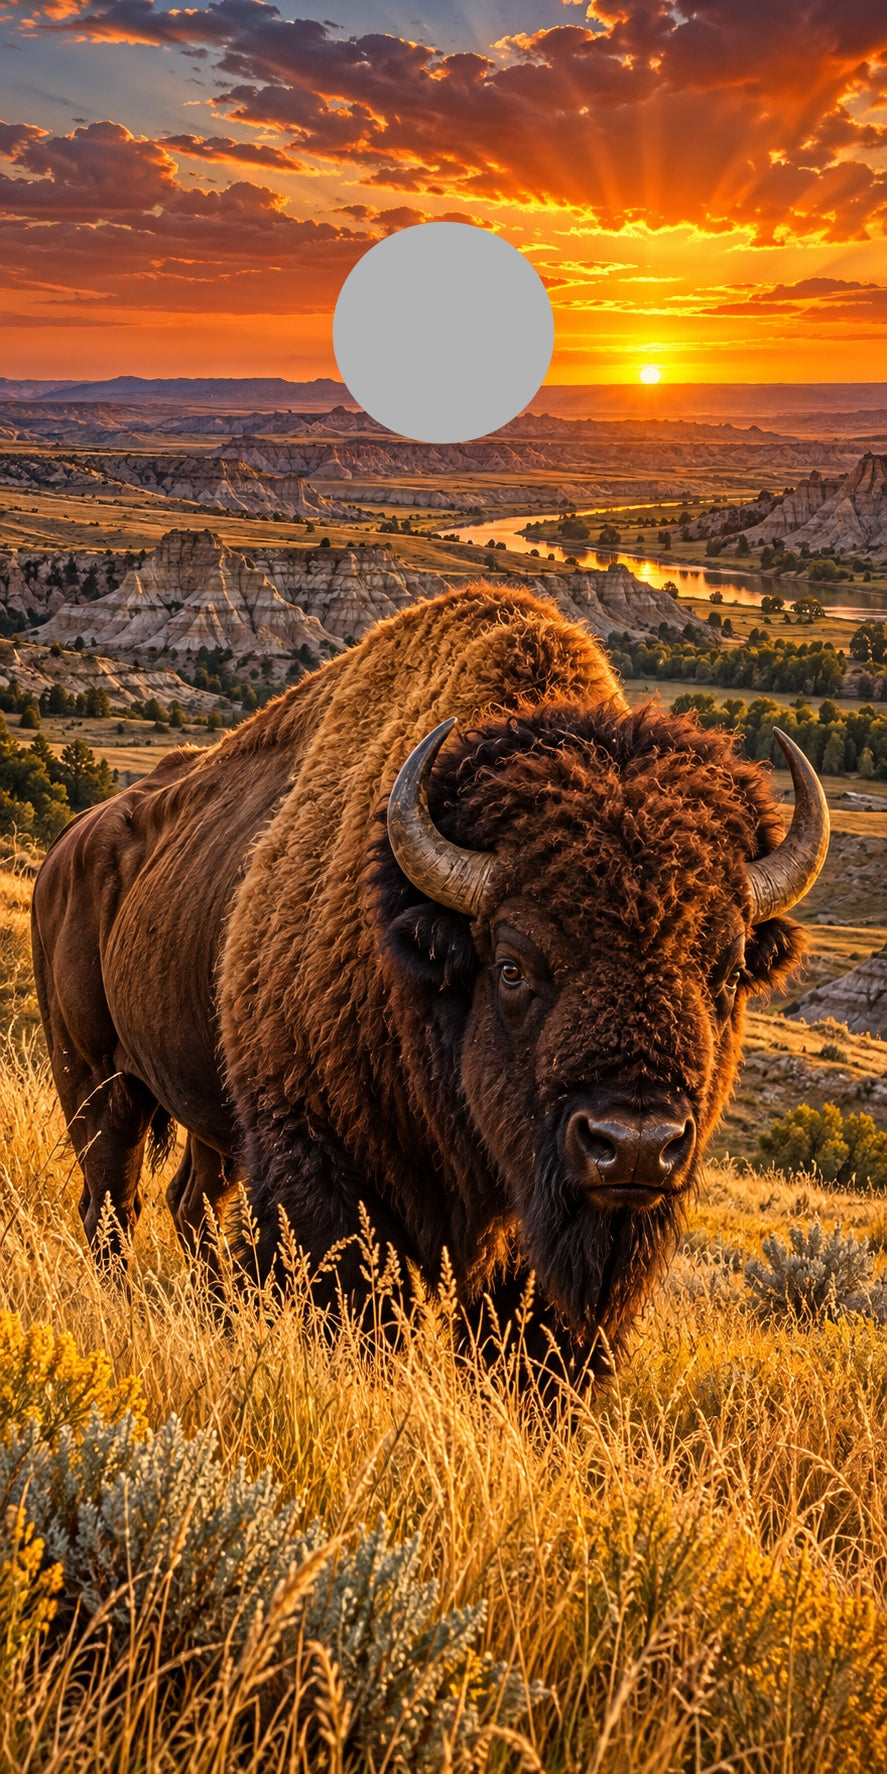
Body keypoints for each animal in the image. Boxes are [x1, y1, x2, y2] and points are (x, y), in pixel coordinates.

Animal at [31, 585, 828, 1370]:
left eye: (727, 972)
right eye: (511, 966)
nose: (633, 1144)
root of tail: (66, 846)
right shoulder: (326, 1166)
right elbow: (364, 1313)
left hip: (208, 1113)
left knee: (190, 1201)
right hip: (95, 1082)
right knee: (112, 1199)